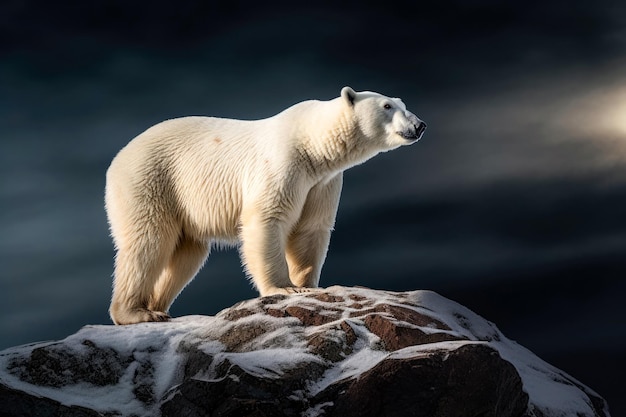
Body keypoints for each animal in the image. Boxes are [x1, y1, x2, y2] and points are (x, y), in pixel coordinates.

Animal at [105, 86, 424, 324]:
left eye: (402, 103)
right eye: (387, 106)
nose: (419, 125)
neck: (313, 145)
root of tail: (118, 158)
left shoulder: (322, 183)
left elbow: (311, 228)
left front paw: (307, 284)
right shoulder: (283, 164)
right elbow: (268, 219)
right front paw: (284, 287)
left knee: (187, 252)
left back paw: (158, 307)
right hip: (152, 181)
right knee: (149, 241)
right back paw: (137, 312)